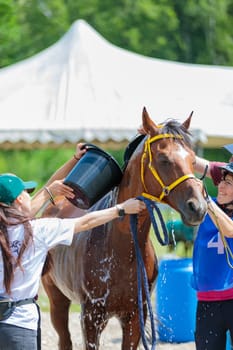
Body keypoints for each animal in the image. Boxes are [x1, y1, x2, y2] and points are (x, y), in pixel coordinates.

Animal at [41, 108, 207, 348]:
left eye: (193, 160)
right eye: (164, 159)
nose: (198, 207)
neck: (120, 246)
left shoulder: (135, 317)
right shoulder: (91, 318)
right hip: (57, 301)